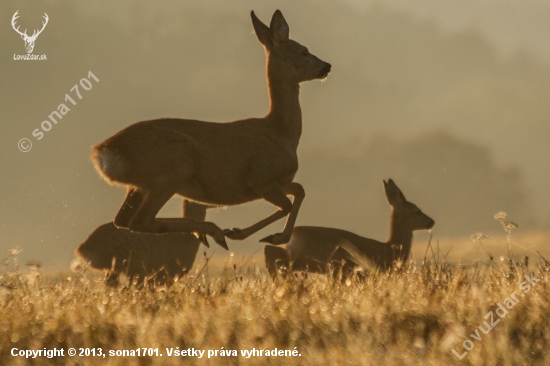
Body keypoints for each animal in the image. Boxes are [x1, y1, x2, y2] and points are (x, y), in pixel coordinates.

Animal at [91, 9, 332, 249]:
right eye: (304, 51)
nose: (327, 66)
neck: (282, 132)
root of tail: (103, 151)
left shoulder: (280, 181)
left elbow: (299, 190)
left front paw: (271, 236)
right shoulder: (261, 178)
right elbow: (287, 204)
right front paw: (251, 234)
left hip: (140, 185)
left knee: (122, 220)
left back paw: (207, 232)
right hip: (173, 170)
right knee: (140, 221)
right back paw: (215, 231)